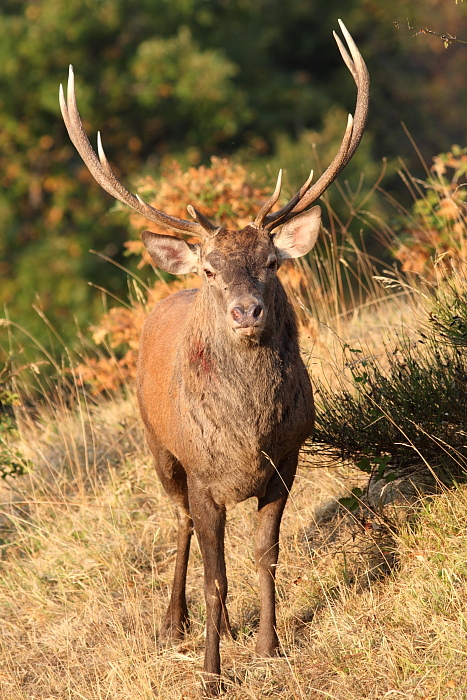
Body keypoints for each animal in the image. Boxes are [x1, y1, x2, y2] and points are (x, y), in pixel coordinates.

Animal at [60, 20, 372, 696]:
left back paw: (225, 629)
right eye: (210, 269)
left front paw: (268, 648)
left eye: (272, 262)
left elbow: (264, 558)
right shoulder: (203, 477)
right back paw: (173, 624)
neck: (247, 437)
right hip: (157, 445)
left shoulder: (287, 461)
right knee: (176, 521)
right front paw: (209, 670)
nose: (246, 312)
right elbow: (213, 577)